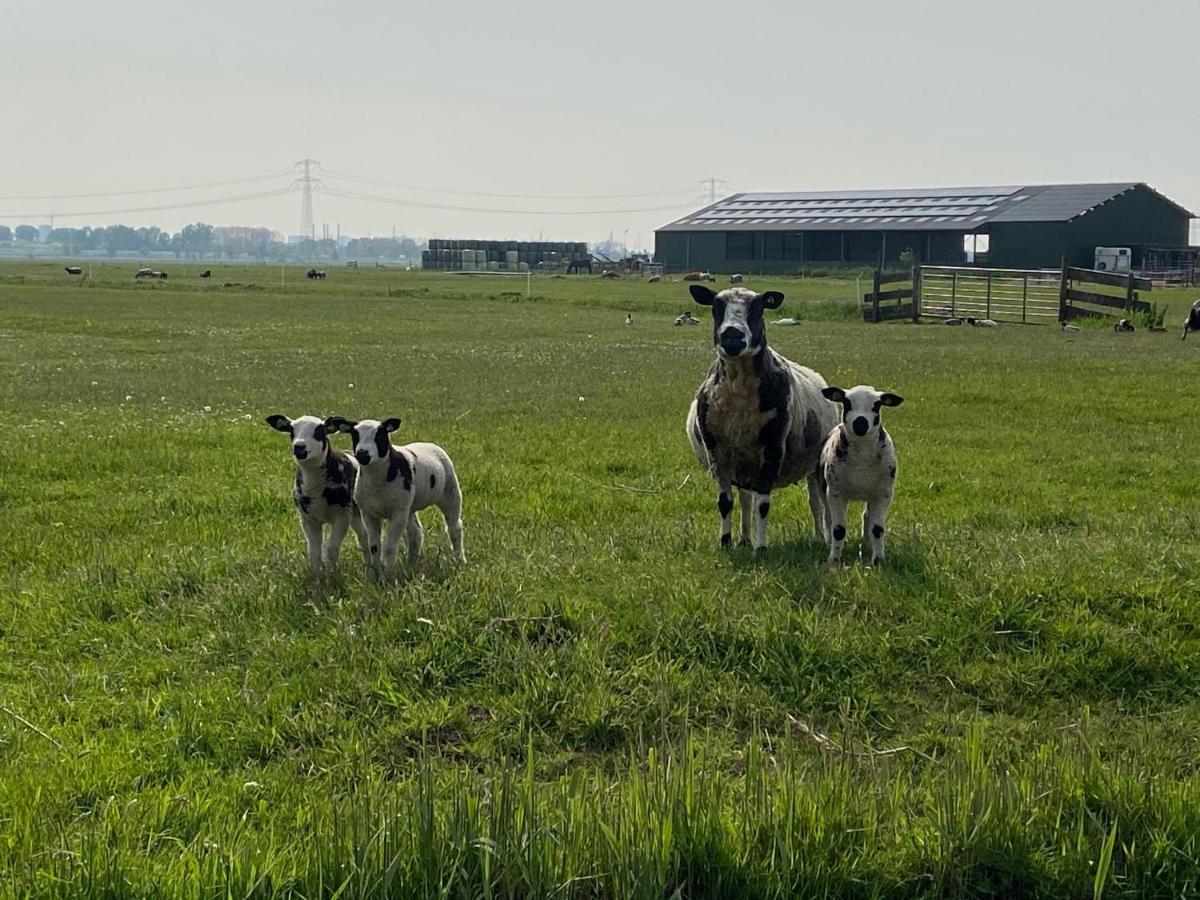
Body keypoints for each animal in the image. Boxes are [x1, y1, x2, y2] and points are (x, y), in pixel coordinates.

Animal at [686, 289, 835, 556]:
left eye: (758, 308)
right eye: (715, 306)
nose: (732, 335)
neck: (739, 391)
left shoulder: (773, 451)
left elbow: (764, 505)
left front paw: (761, 548)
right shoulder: (717, 453)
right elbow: (725, 503)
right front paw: (726, 543)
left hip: (816, 466)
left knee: (818, 503)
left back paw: (823, 537)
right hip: (744, 462)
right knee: (747, 499)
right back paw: (745, 538)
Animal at [820, 386, 902, 566]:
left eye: (877, 405)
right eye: (846, 402)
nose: (860, 424)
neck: (861, 460)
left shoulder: (883, 494)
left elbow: (877, 529)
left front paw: (878, 560)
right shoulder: (835, 493)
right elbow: (838, 529)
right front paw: (834, 560)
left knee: (867, 517)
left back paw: (866, 542)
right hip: (823, 489)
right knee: (828, 517)